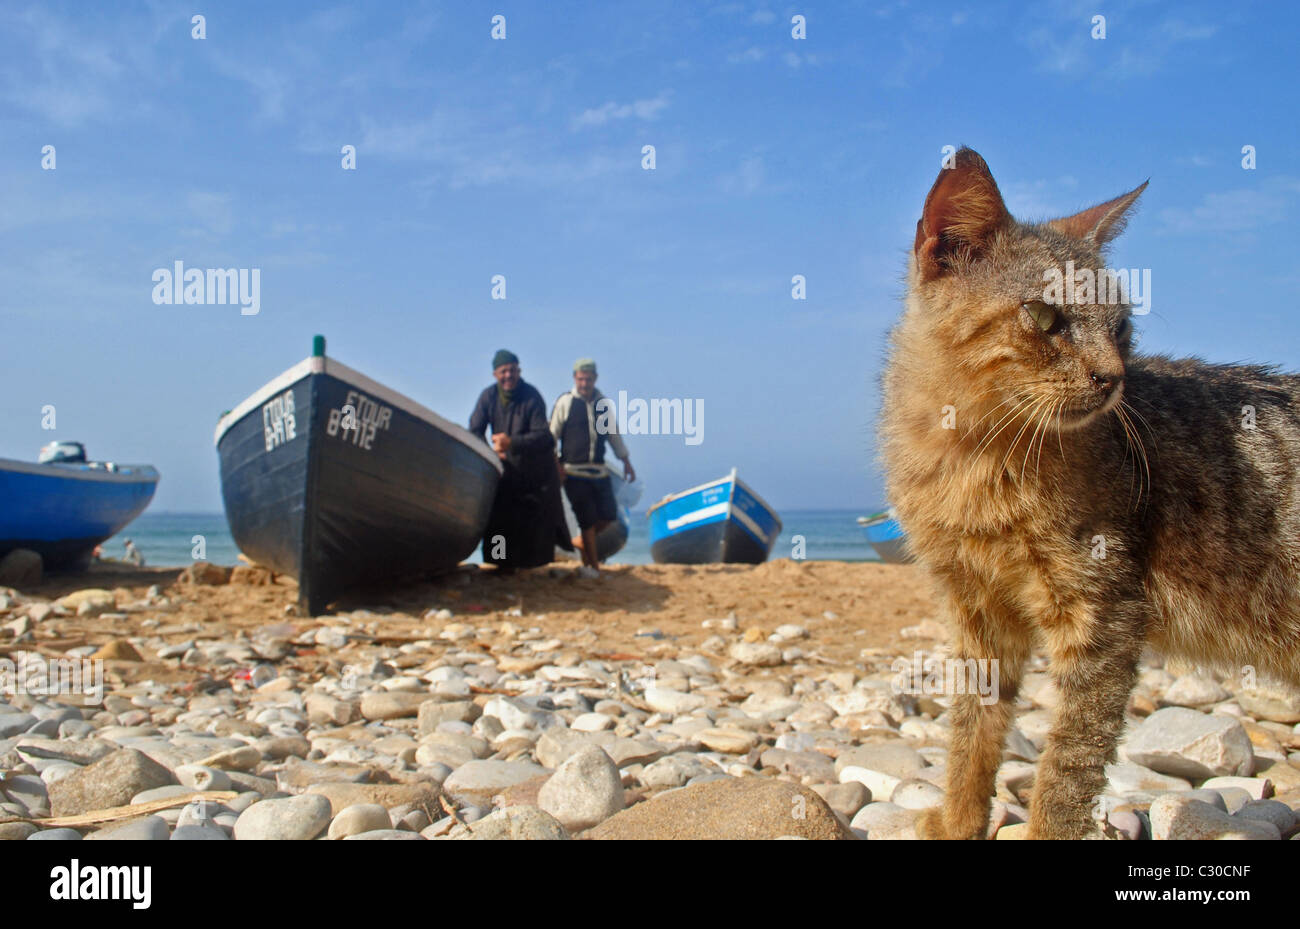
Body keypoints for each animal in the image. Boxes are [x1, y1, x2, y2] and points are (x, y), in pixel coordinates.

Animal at [878, 148, 1300, 841]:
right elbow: (972, 734)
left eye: (1123, 327)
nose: (1114, 377)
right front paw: (957, 820)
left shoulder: (1105, 614)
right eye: (1047, 317)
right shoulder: (976, 609)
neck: (973, 460)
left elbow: (1068, 768)